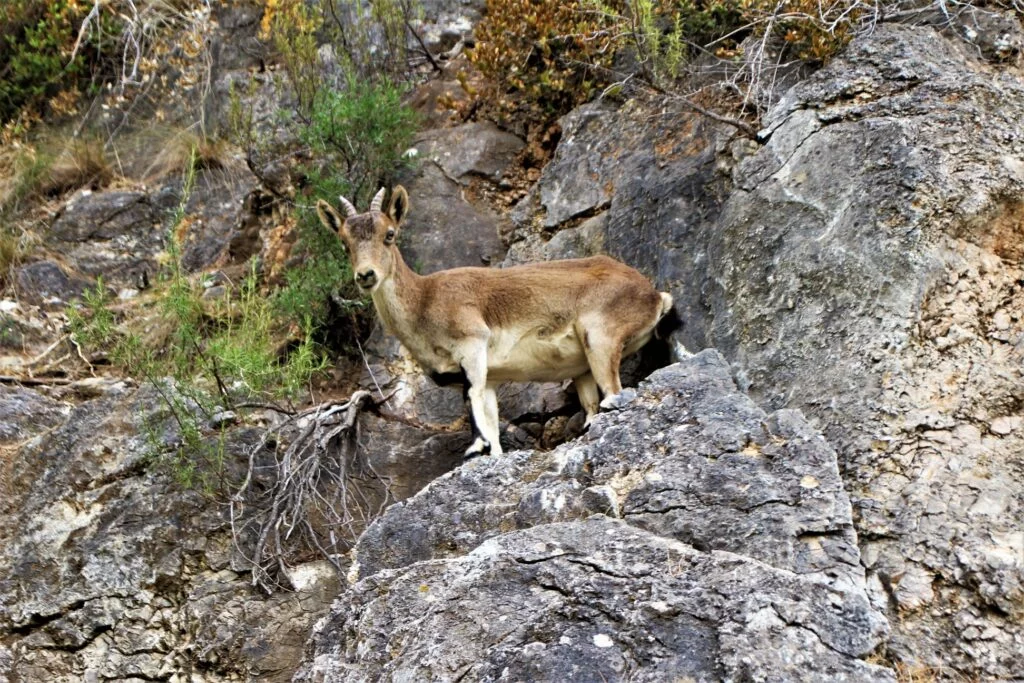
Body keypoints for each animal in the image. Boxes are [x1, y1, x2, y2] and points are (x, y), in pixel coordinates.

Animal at [315, 184, 675, 456]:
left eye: (389, 234)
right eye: (344, 243)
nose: (366, 275)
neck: (424, 301)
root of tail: (654, 296)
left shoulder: (472, 345)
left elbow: (472, 400)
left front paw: (474, 448)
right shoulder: (490, 377)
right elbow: (490, 421)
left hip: (601, 338)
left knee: (613, 392)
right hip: (584, 368)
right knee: (592, 406)